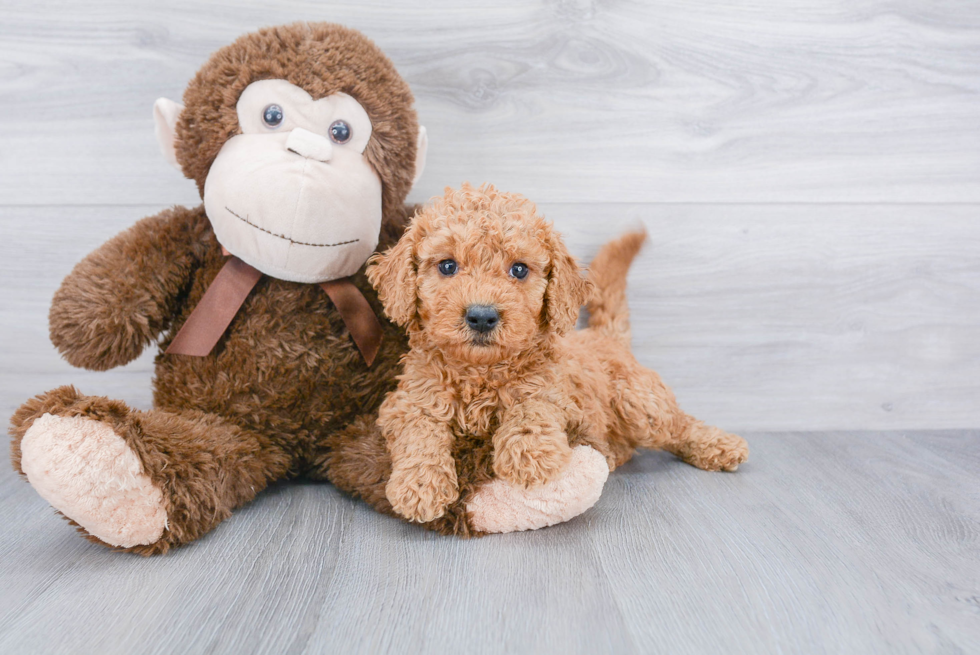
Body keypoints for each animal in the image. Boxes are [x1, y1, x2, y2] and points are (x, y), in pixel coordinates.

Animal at [364, 183, 748, 524]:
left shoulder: (560, 393)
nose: (482, 316)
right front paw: (420, 486)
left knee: (679, 423)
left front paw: (528, 455)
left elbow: (533, 405)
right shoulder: (406, 400)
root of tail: (602, 335)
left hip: (638, 401)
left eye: (519, 269)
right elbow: (420, 430)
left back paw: (720, 445)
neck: (480, 371)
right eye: (447, 266)